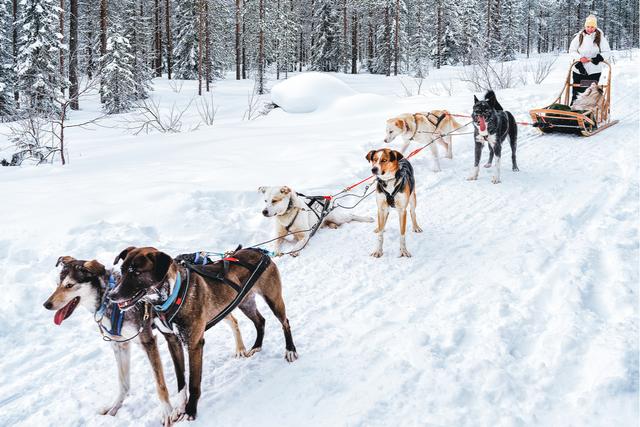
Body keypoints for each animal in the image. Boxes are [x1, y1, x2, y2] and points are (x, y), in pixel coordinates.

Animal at [42, 256, 248, 426]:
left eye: (69, 285)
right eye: (57, 284)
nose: (46, 304)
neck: (109, 301)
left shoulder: (148, 342)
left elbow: (160, 384)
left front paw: (167, 412)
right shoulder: (120, 345)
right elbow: (123, 383)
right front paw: (114, 407)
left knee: (233, 320)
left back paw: (240, 348)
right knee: (233, 319)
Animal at [109, 246, 298, 422]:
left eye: (137, 272)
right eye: (122, 271)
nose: (111, 295)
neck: (172, 295)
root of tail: (259, 251)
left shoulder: (194, 344)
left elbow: (193, 382)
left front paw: (190, 410)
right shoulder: (173, 342)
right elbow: (181, 381)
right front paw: (179, 407)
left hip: (273, 299)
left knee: (285, 322)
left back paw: (290, 350)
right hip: (245, 303)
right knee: (260, 321)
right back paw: (257, 346)